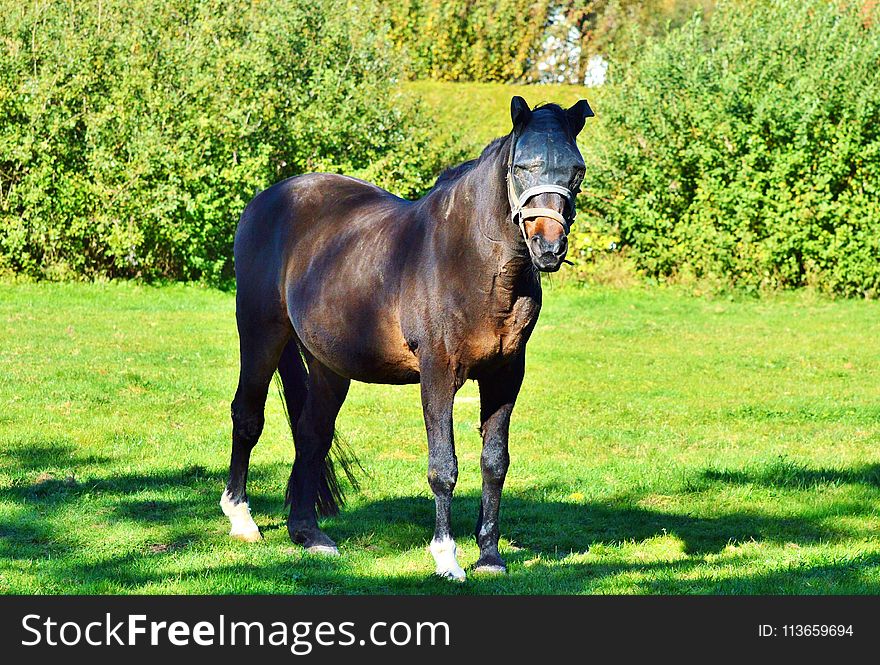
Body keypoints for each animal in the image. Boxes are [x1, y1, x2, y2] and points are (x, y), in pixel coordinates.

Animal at [220, 96, 596, 580]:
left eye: (576, 170)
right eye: (521, 166)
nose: (548, 247)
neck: (472, 262)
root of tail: (268, 199)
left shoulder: (505, 375)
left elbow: (494, 463)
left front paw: (490, 558)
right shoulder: (438, 373)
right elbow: (443, 467)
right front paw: (447, 558)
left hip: (328, 365)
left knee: (311, 434)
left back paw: (309, 534)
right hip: (261, 334)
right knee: (247, 416)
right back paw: (242, 520)